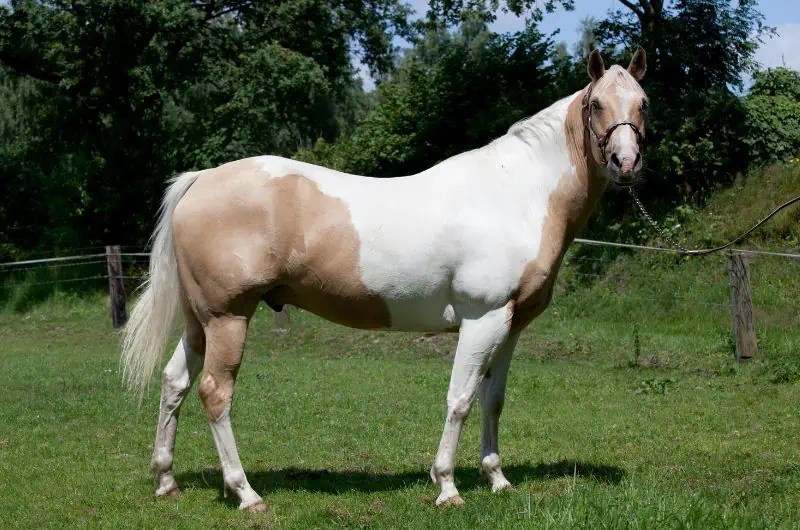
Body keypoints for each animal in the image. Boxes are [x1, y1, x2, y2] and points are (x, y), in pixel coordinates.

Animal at [121, 48, 648, 512]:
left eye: (643, 102)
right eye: (596, 104)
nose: (625, 164)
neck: (515, 194)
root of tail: (203, 178)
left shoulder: (510, 326)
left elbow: (492, 400)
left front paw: (497, 479)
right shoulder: (482, 321)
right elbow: (460, 399)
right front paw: (447, 487)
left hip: (201, 321)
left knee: (174, 383)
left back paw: (166, 481)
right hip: (229, 318)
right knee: (215, 392)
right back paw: (245, 493)